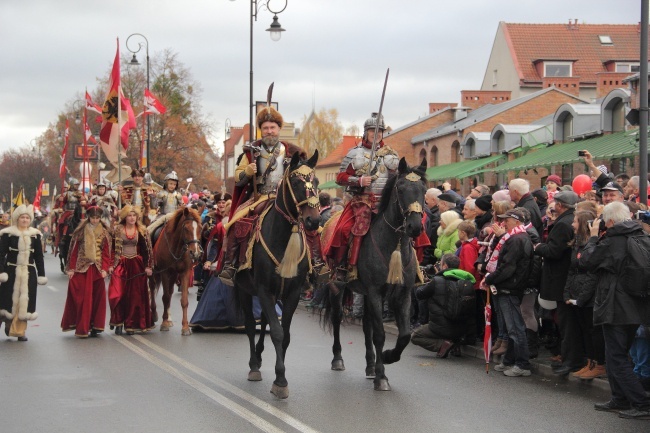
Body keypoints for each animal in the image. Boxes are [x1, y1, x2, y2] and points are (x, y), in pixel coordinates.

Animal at [148, 208, 201, 336]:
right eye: (186, 228)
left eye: (200, 228)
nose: (195, 253)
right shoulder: (165, 272)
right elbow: (165, 297)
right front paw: (164, 323)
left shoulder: (184, 272)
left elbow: (184, 300)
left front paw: (185, 327)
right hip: (153, 272)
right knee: (152, 287)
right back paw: (155, 314)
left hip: (173, 275)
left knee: (170, 291)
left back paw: (169, 318)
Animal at [235, 149, 322, 398]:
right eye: (297, 182)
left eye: (316, 182)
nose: (314, 221)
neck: (283, 237)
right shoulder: (264, 290)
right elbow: (276, 332)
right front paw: (280, 380)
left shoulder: (291, 293)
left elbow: (285, 335)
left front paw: (280, 375)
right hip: (243, 290)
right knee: (249, 325)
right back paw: (254, 364)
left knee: (263, 320)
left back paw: (260, 356)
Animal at [322, 156, 426, 392]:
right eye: (401, 188)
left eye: (423, 189)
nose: (415, 227)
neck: (393, 246)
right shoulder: (376, 292)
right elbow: (379, 334)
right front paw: (382, 377)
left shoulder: (402, 294)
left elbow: (404, 335)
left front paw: (387, 358)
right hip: (337, 287)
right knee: (337, 318)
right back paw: (338, 359)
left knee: (366, 325)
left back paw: (370, 365)